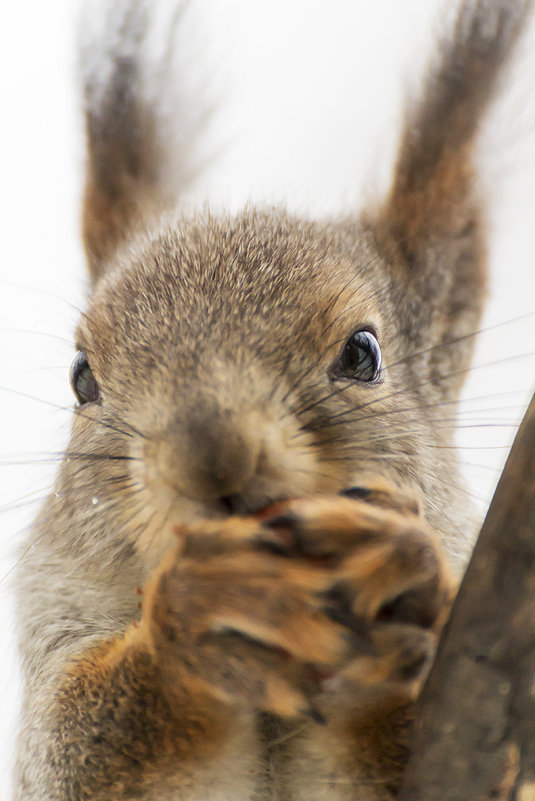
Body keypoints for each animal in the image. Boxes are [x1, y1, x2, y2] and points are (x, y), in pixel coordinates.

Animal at [10, 1, 532, 800]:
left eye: (363, 353)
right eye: (81, 378)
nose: (212, 459)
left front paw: (400, 584)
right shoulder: (52, 624)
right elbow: (77, 744)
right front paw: (200, 616)